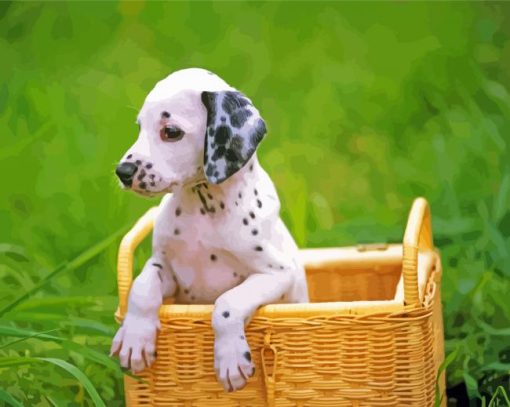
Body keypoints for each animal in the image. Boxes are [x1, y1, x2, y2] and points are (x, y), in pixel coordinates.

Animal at [110, 68, 308, 394]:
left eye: (171, 132)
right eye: (140, 127)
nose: (123, 173)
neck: (203, 207)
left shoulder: (276, 274)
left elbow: (226, 303)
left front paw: (230, 358)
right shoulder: (167, 269)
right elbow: (141, 286)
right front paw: (135, 338)